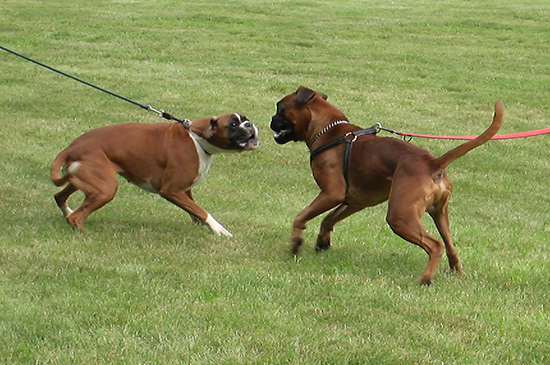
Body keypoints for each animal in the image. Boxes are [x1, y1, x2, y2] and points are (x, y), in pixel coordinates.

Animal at [50, 112, 260, 235]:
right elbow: (201, 210)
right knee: (76, 217)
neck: (197, 137)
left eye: (244, 119)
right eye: (233, 124)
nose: (250, 124)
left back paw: (68, 212)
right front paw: (218, 229)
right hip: (106, 189)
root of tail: (72, 147)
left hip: (84, 180)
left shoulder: (185, 190)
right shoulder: (171, 190)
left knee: (59, 197)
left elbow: (194, 209)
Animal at [272, 86, 504, 284]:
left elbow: (300, 216)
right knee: (449, 245)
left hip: (399, 217)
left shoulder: (331, 194)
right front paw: (322, 242)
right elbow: (328, 219)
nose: (271, 121)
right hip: (439, 214)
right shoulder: (355, 201)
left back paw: (425, 279)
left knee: (435, 245)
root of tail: (432, 163)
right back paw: (457, 271)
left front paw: (295, 244)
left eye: (280, 108)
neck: (328, 132)